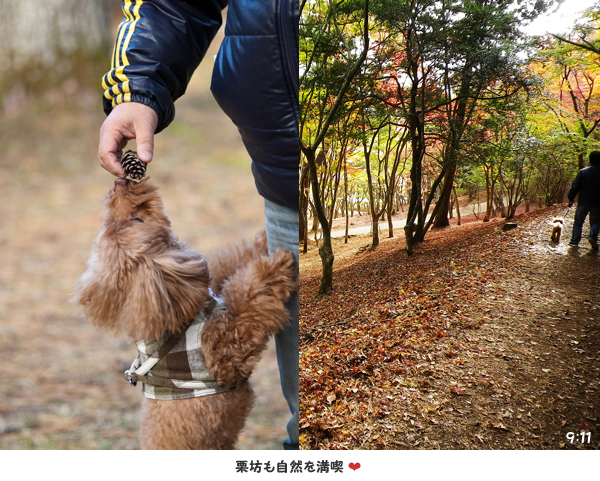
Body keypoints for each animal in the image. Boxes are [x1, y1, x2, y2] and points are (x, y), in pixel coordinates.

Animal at [74, 177, 296, 450]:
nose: (119, 183)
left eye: (129, 218)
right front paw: (276, 265)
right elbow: (246, 298)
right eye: (137, 220)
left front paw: (264, 240)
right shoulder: (226, 355)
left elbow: (237, 260)